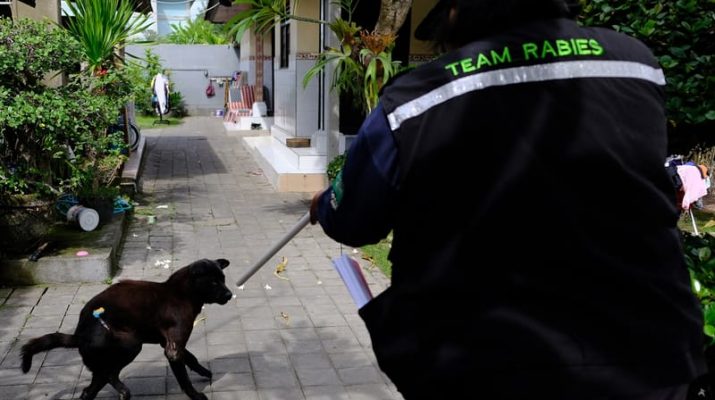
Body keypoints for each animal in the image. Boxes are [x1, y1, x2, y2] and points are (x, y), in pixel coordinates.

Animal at [21, 258, 234, 398]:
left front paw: (204, 372)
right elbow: (184, 378)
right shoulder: (172, 349)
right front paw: (196, 395)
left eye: (223, 278)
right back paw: (124, 391)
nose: (230, 294)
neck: (181, 293)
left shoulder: (169, 343)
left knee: (89, 389)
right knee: (110, 374)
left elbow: (191, 357)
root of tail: (79, 335)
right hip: (131, 344)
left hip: (101, 367)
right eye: (213, 282)